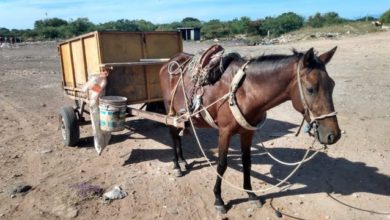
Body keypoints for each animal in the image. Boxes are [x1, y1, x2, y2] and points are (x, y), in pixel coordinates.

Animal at [158, 46, 342, 213]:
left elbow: (247, 162)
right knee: (173, 134)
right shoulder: (224, 132)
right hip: (170, 110)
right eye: (311, 89)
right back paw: (176, 165)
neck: (244, 92)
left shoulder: (248, 132)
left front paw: (251, 194)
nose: (333, 135)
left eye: (333, 85)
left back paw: (183, 160)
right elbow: (221, 165)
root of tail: (170, 61)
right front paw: (218, 199)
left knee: (178, 134)